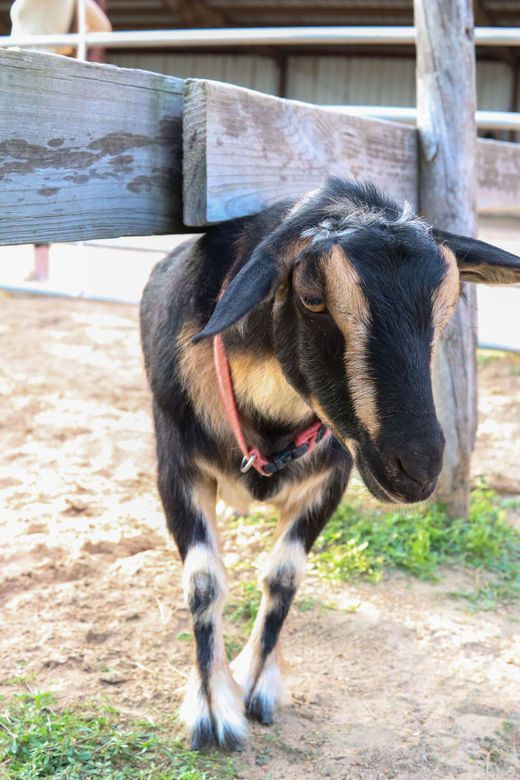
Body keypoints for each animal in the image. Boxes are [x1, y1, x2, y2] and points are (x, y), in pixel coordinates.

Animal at [140, 178, 520, 751]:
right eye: (312, 298)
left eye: (450, 303)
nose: (418, 468)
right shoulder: (177, 467)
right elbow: (204, 581)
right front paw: (213, 708)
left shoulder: (333, 477)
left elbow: (284, 576)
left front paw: (258, 681)